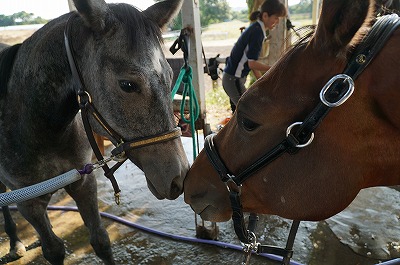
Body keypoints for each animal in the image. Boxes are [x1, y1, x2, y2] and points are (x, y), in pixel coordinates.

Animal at [0, 0, 188, 262]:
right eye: (127, 84)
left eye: (170, 76)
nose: (179, 177)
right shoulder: (29, 202)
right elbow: (54, 249)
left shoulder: (84, 182)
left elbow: (100, 240)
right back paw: (15, 241)